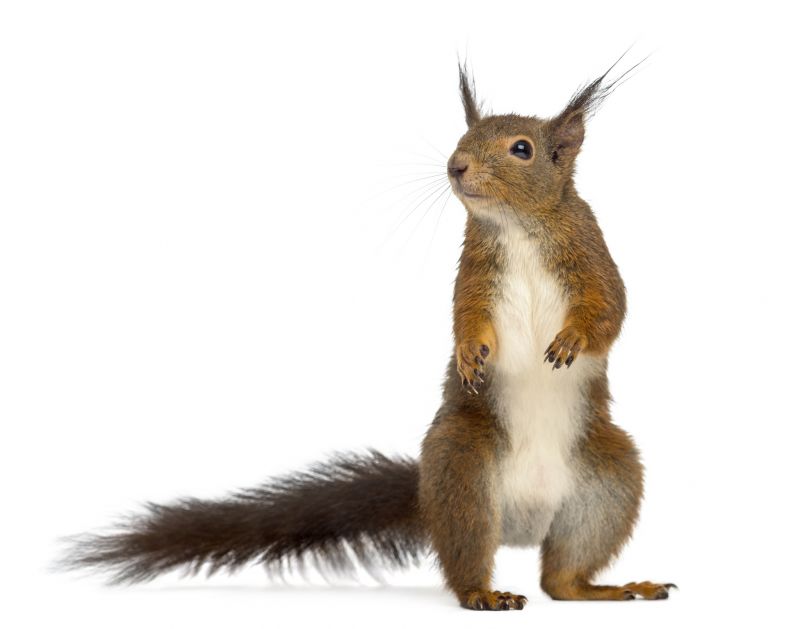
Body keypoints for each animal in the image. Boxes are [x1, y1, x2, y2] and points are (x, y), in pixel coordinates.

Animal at [62, 60, 674, 610]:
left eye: (521, 149)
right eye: (462, 138)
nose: (456, 166)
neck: (517, 227)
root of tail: (521, 520)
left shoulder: (591, 255)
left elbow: (610, 313)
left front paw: (572, 340)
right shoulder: (474, 275)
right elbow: (465, 319)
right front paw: (468, 354)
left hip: (608, 484)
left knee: (560, 579)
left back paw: (606, 588)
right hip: (463, 472)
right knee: (472, 561)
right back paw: (486, 593)